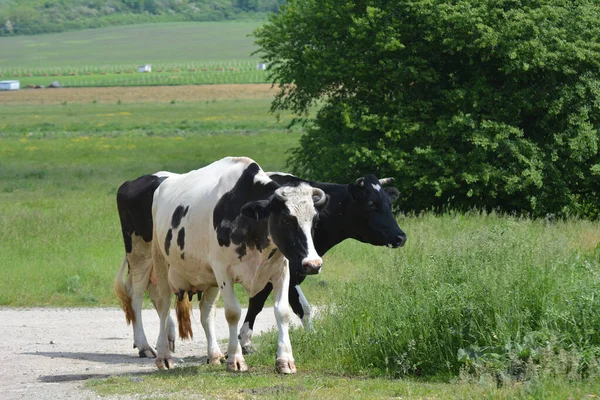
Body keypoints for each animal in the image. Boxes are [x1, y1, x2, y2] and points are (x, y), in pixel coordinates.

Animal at [144, 156, 328, 372]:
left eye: (315, 221)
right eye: (287, 220)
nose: (313, 264)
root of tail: (162, 186)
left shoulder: (281, 271)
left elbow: (282, 312)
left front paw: (285, 360)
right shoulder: (223, 271)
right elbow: (233, 312)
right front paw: (236, 359)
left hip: (209, 278)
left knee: (206, 312)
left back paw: (214, 354)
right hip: (161, 261)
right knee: (164, 307)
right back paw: (163, 356)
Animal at [237, 173, 406, 354]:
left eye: (389, 203)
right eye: (371, 204)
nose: (401, 237)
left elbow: (279, 303)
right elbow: (279, 304)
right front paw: (245, 341)